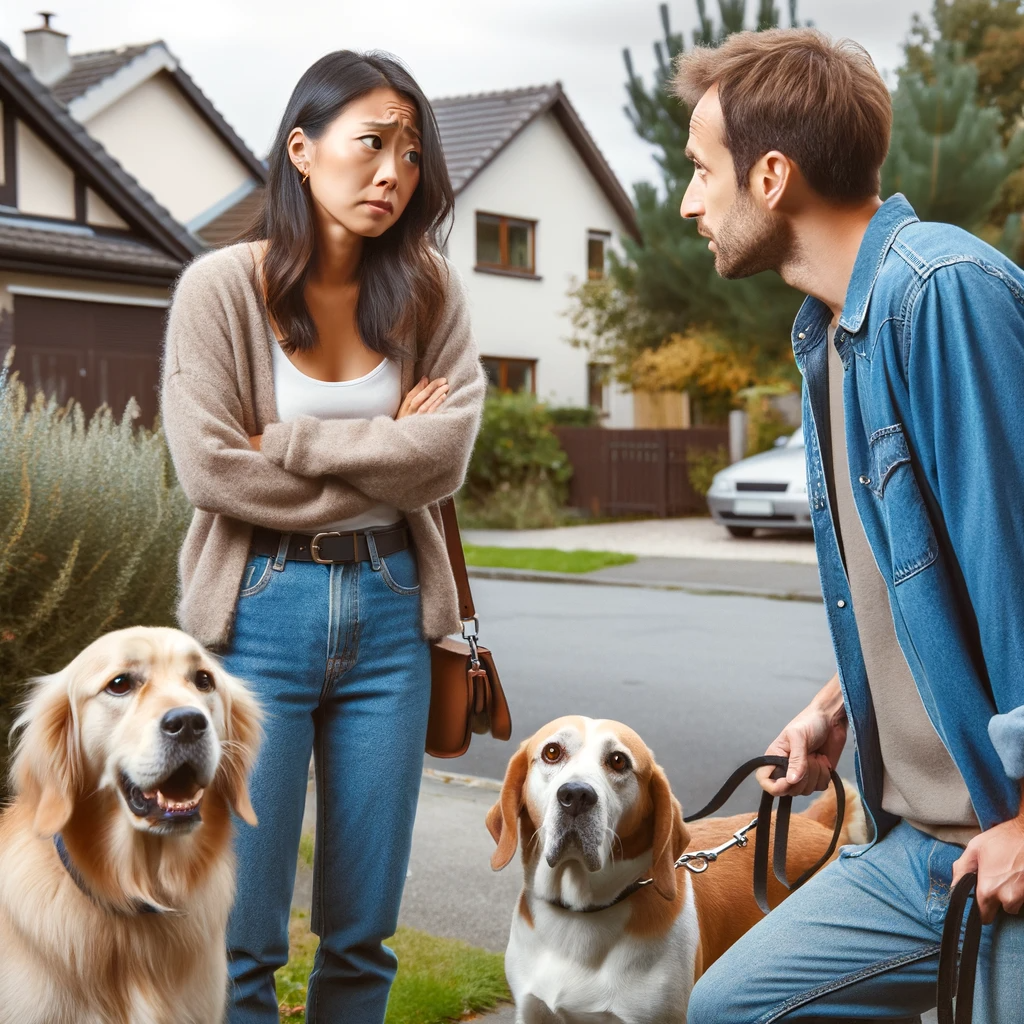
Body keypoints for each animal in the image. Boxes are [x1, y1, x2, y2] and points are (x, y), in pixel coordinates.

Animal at [487, 716, 864, 1024]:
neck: (582, 916)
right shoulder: (533, 1012)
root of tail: (813, 821)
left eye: (618, 761)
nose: (576, 795)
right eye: (552, 752)